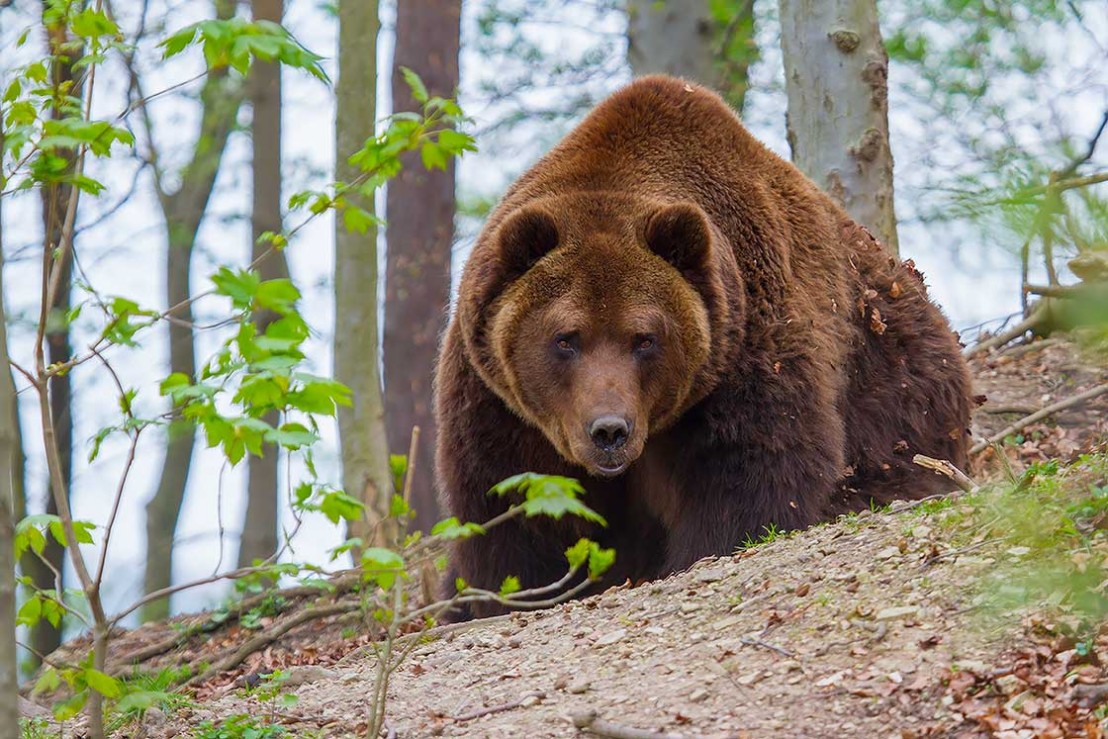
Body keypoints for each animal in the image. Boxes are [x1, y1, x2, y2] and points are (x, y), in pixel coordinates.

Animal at [432, 75, 970, 620]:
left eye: (644, 338)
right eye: (566, 338)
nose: (610, 431)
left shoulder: (745, 347)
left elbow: (750, 473)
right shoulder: (497, 400)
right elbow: (515, 506)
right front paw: (518, 590)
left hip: (898, 391)